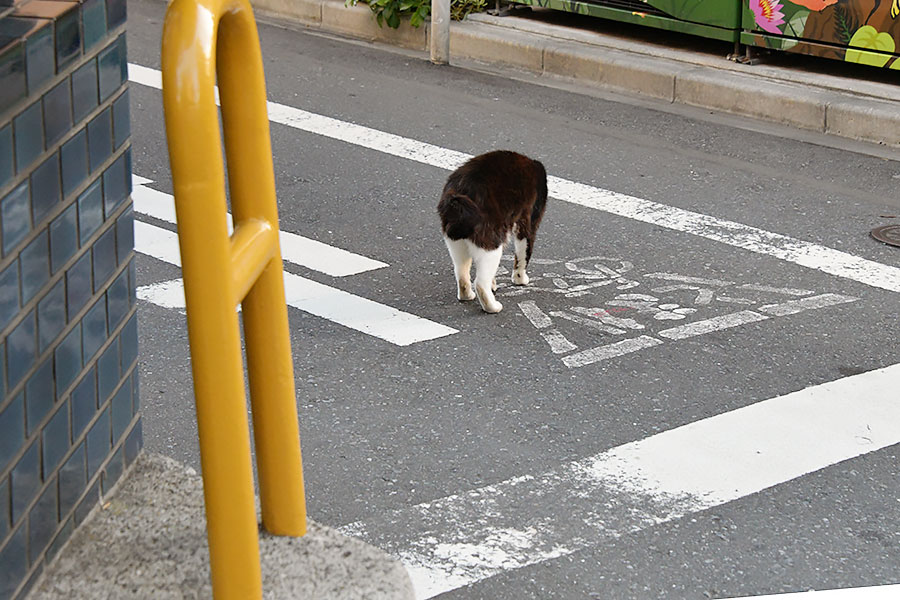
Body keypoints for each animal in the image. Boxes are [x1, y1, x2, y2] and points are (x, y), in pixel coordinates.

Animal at [438, 151, 544, 314]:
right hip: (491, 243)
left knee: (461, 274)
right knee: (480, 283)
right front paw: (520, 279)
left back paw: (467, 295)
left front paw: (494, 284)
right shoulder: (528, 221)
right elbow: (522, 255)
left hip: (456, 244)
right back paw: (492, 307)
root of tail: (457, 194)